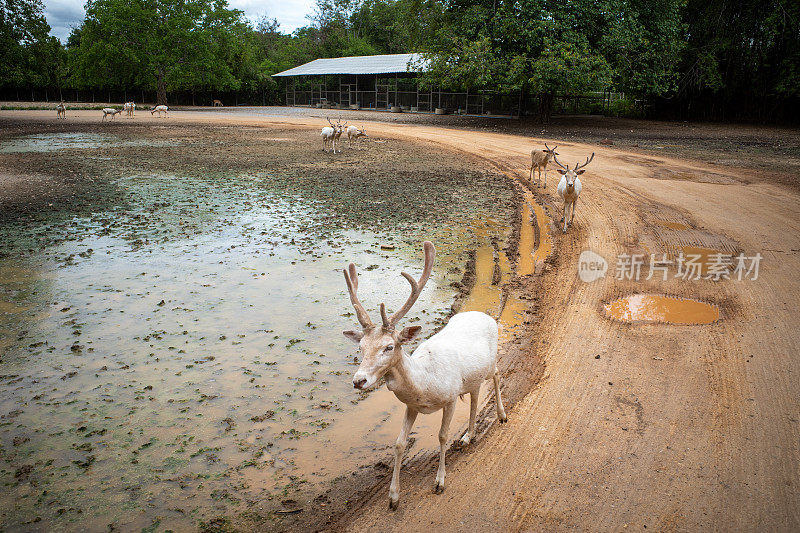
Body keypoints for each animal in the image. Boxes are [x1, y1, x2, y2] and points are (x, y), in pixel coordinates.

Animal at [342, 240, 506, 508]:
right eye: (361, 347)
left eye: (389, 346)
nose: (359, 381)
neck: (426, 384)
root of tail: (483, 314)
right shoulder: (411, 406)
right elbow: (399, 444)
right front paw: (393, 497)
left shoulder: (450, 397)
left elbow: (442, 435)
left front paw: (439, 482)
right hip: (472, 377)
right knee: (474, 396)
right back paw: (468, 436)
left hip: (491, 362)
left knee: (497, 374)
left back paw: (501, 415)